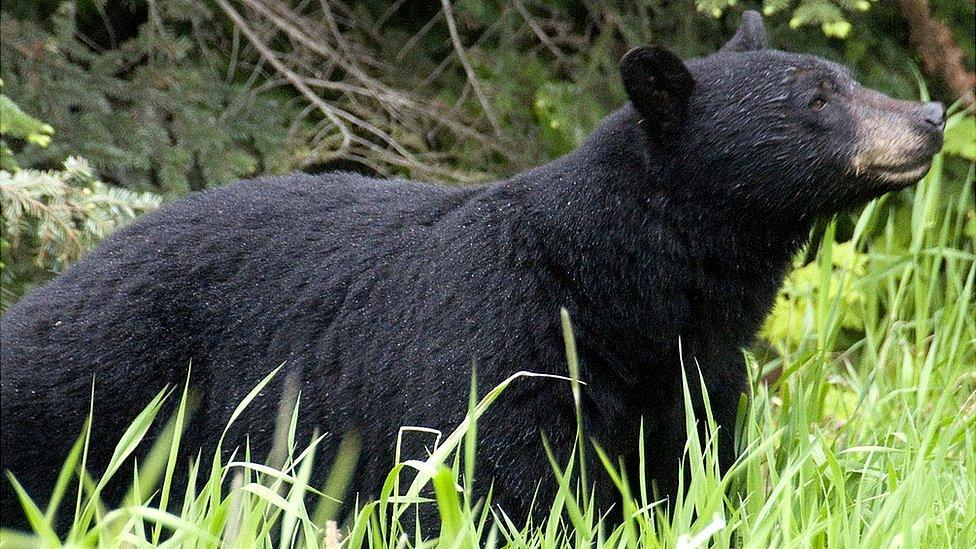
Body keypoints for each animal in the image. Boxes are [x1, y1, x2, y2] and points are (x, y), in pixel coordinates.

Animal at [1, 11, 944, 528]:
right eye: (817, 100)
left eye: (846, 77)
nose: (932, 114)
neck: (618, 288)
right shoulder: (496, 343)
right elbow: (489, 483)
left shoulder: (688, 374)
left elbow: (685, 470)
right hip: (105, 379)